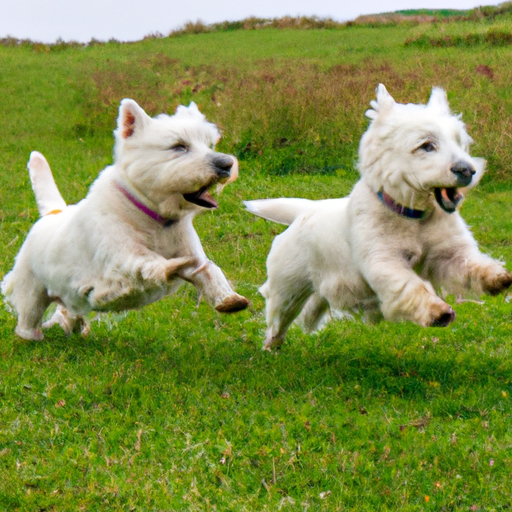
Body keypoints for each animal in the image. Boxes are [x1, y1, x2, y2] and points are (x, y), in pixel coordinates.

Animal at [2, 99, 250, 340]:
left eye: (209, 144)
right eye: (179, 146)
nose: (226, 164)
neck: (154, 219)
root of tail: (54, 212)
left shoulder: (190, 250)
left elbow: (207, 269)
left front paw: (230, 300)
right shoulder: (122, 257)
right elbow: (151, 263)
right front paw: (175, 265)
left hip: (68, 294)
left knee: (68, 310)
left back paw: (76, 327)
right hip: (32, 289)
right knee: (28, 316)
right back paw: (33, 336)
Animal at [246, 85, 510, 348]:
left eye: (459, 142)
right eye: (426, 145)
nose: (468, 170)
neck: (413, 217)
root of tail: (303, 212)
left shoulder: (449, 255)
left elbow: (471, 264)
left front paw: (498, 277)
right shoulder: (384, 261)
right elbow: (410, 286)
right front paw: (438, 311)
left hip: (318, 289)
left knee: (310, 310)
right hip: (288, 288)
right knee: (278, 319)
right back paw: (270, 347)